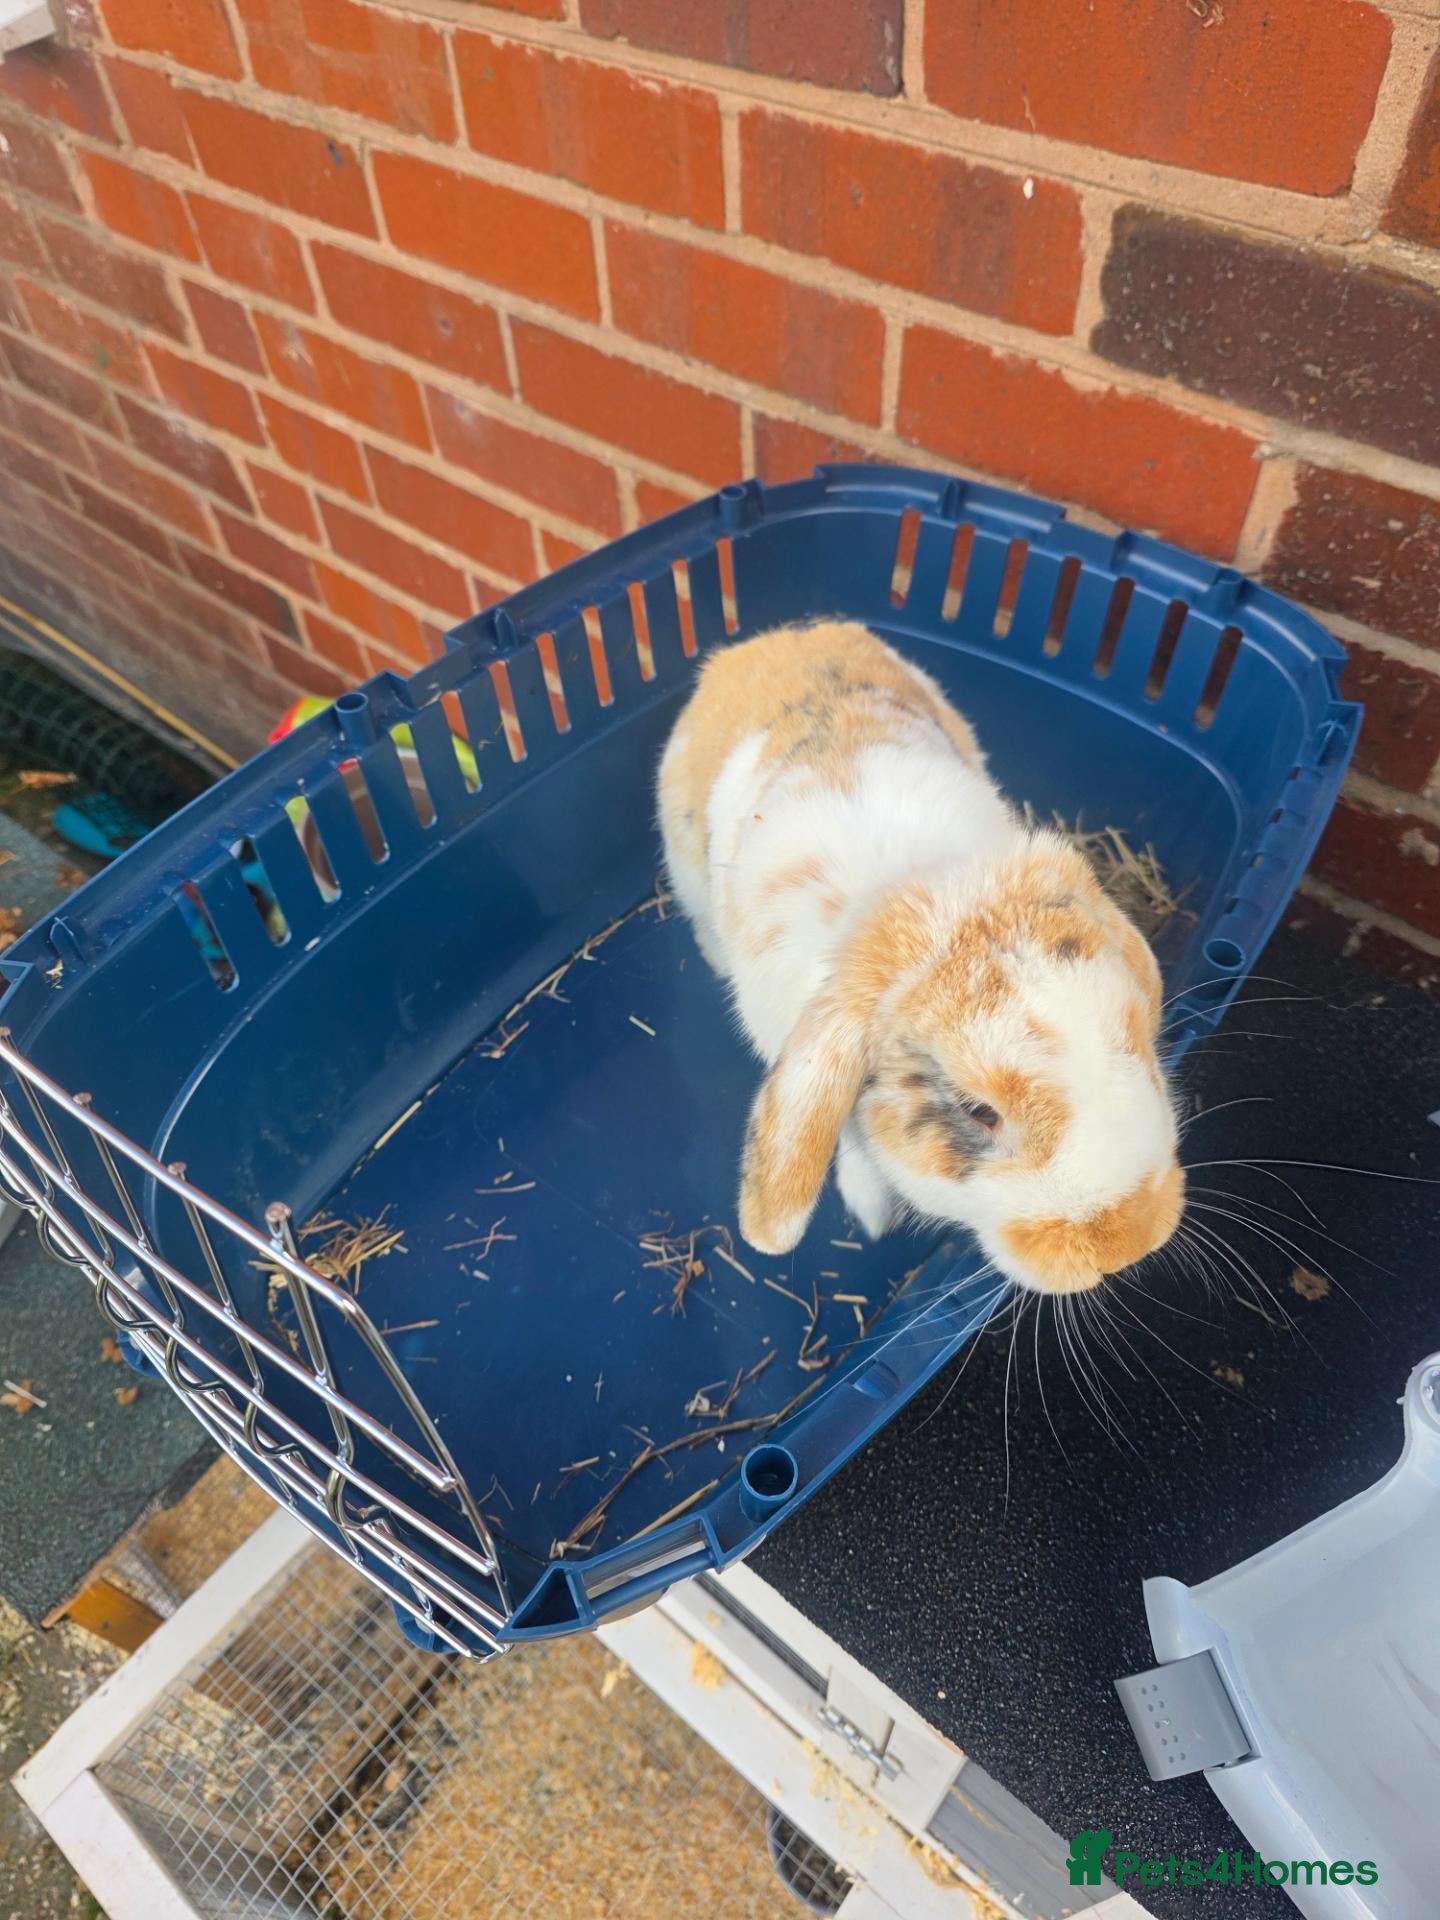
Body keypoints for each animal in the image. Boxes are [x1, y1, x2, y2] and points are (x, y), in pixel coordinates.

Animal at [657, 620, 1184, 1294]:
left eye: (1138, 1035)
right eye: (979, 1112)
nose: (1130, 1242)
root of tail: (779, 635)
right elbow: (852, 1140)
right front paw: (873, 1213)